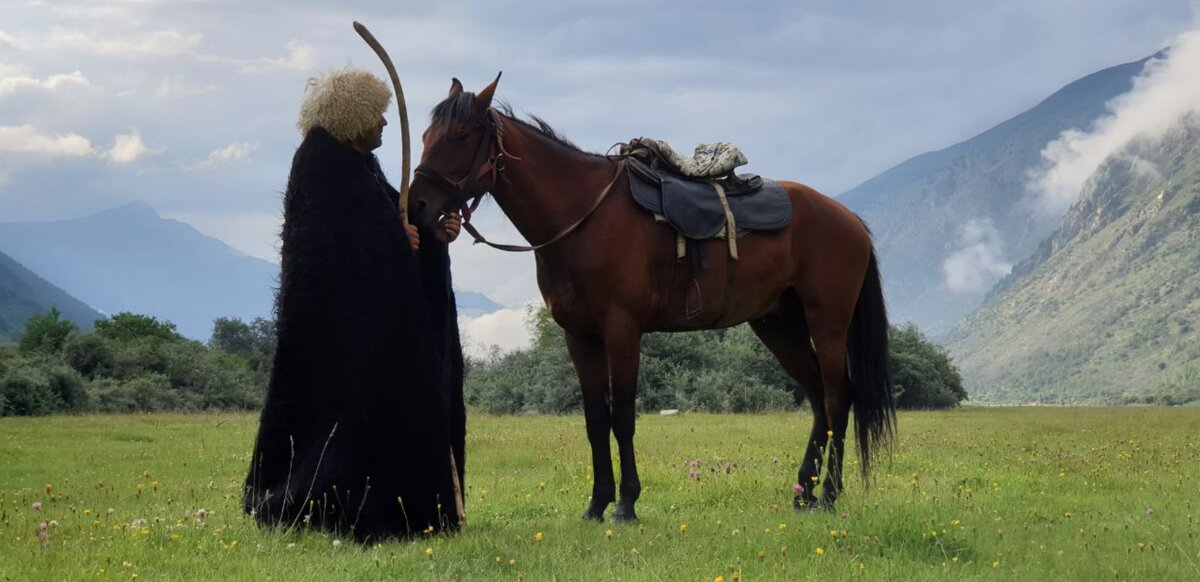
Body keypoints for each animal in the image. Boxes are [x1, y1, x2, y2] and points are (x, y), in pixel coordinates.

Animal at [410, 75, 892, 518]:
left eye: (460, 137)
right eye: (427, 137)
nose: (416, 207)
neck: (583, 218)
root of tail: (849, 219)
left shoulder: (623, 330)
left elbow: (622, 417)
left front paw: (626, 503)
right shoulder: (580, 338)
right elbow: (595, 420)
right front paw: (596, 503)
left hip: (827, 325)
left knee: (837, 399)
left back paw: (828, 494)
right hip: (778, 327)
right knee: (818, 401)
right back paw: (803, 491)